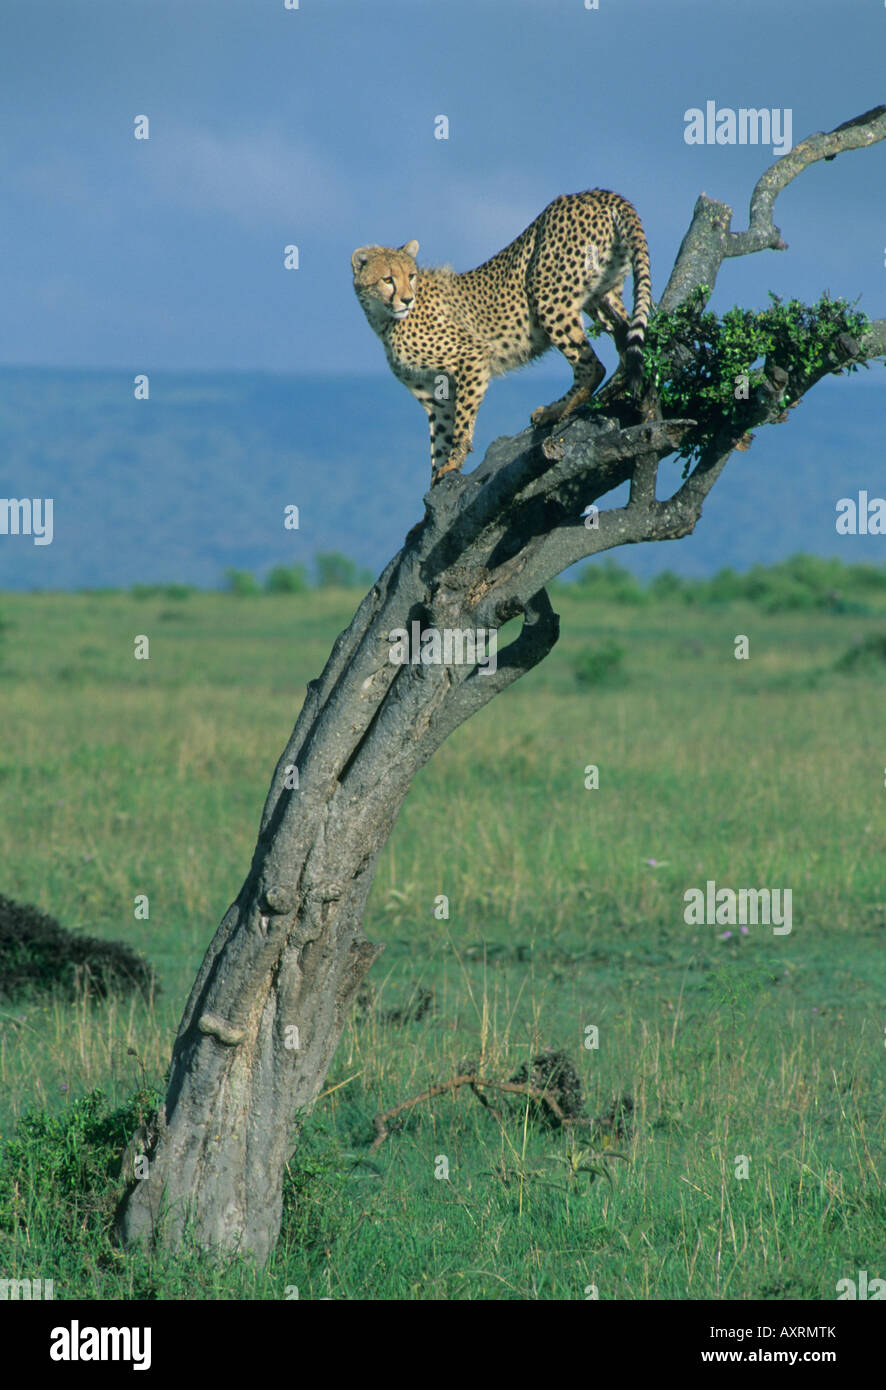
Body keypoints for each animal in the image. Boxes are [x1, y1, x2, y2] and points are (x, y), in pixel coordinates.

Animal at [351, 189, 652, 484]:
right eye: (387, 279)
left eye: (411, 276)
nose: (406, 299)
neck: (383, 320)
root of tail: (599, 193)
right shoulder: (434, 393)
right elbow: (441, 436)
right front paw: (436, 482)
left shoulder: (471, 356)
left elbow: (461, 421)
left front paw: (454, 461)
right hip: (602, 295)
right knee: (629, 338)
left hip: (546, 294)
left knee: (592, 365)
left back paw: (556, 410)